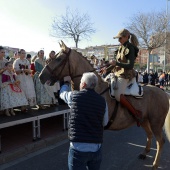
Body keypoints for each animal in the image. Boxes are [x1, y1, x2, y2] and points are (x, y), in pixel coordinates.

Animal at [39, 40, 170, 169]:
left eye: (59, 59)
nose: (41, 76)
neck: (95, 89)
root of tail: (163, 93)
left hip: (156, 123)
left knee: (160, 141)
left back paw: (155, 164)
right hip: (144, 120)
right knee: (149, 135)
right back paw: (144, 153)